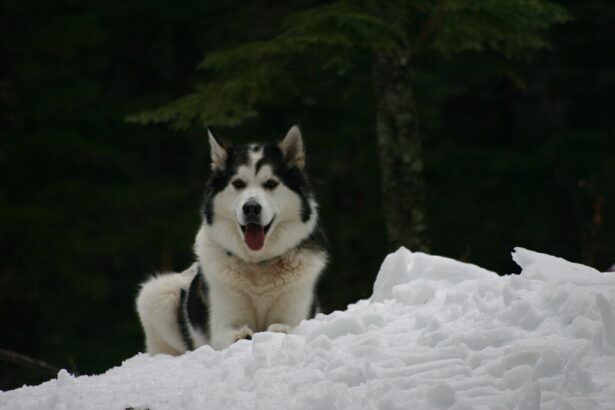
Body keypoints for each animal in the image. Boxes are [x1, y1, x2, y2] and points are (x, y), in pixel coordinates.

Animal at [134, 125, 328, 352]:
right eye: (238, 183)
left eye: (271, 183)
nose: (251, 208)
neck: (258, 265)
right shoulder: (223, 324)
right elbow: (232, 333)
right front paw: (242, 336)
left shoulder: (295, 314)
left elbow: (283, 327)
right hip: (156, 294)